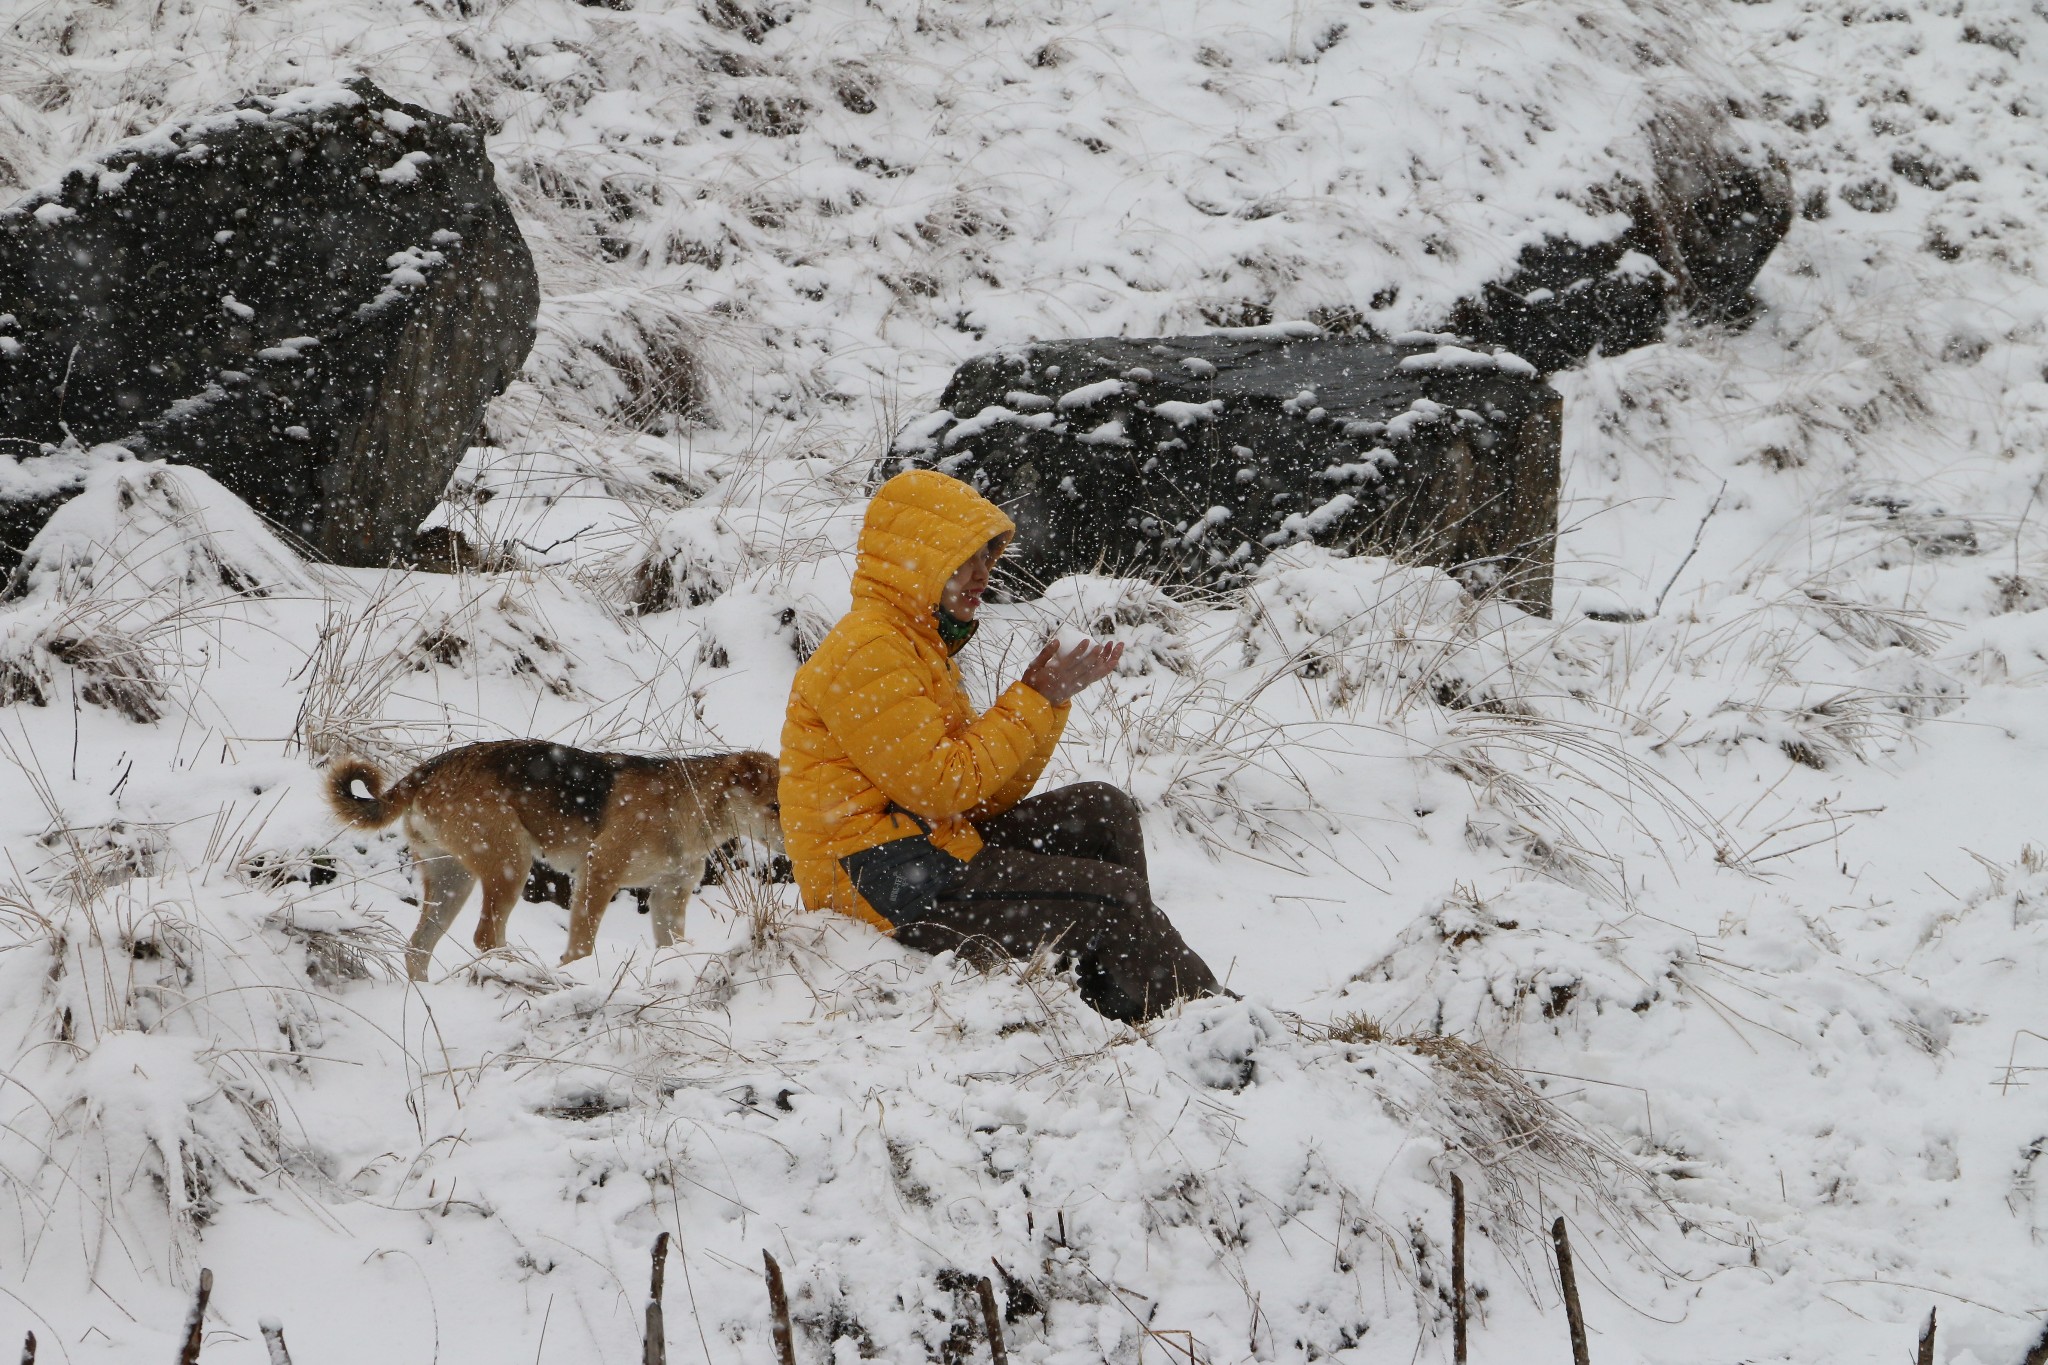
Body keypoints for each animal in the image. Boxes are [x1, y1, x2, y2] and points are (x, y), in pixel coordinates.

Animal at [327, 740, 782, 978]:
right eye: (774, 806)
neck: (683, 805)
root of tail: (426, 770)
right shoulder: (598, 876)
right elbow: (581, 943)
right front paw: (571, 972)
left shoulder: (669, 895)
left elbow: (671, 945)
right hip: (510, 865)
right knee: (485, 937)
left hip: (452, 881)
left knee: (417, 949)